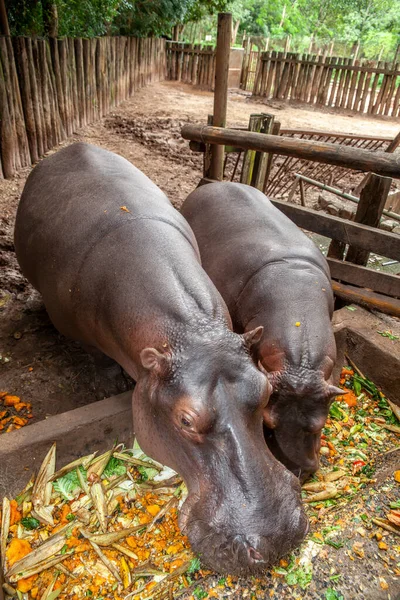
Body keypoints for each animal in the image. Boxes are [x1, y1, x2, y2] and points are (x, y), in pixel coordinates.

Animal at [14, 143, 308, 576]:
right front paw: (109, 384)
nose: (276, 538)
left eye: (266, 391)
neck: (189, 333)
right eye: (185, 420)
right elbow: (94, 356)